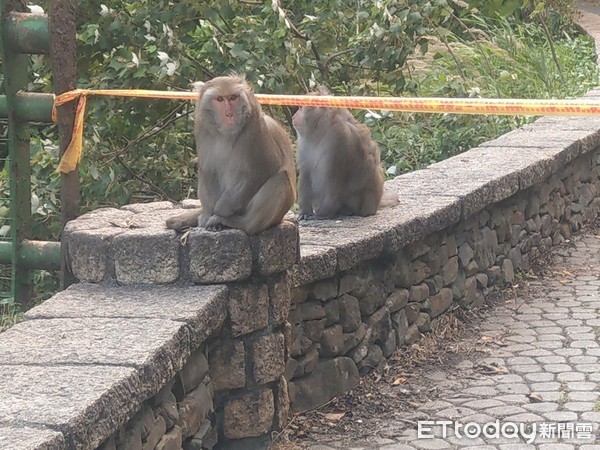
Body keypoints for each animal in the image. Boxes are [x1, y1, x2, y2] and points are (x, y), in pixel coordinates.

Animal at [165, 74, 296, 236]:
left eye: (233, 97)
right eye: (220, 99)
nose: (229, 114)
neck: (226, 134)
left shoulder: (254, 130)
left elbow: (263, 169)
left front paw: (221, 210)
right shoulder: (202, 128)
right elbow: (209, 170)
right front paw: (209, 214)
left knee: (280, 179)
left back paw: (238, 223)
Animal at [292, 89, 396, 219]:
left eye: (301, 108)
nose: (293, 116)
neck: (320, 131)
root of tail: (375, 205)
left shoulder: (340, 139)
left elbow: (335, 178)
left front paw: (323, 213)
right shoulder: (303, 143)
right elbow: (306, 172)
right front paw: (305, 212)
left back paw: (347, 210)